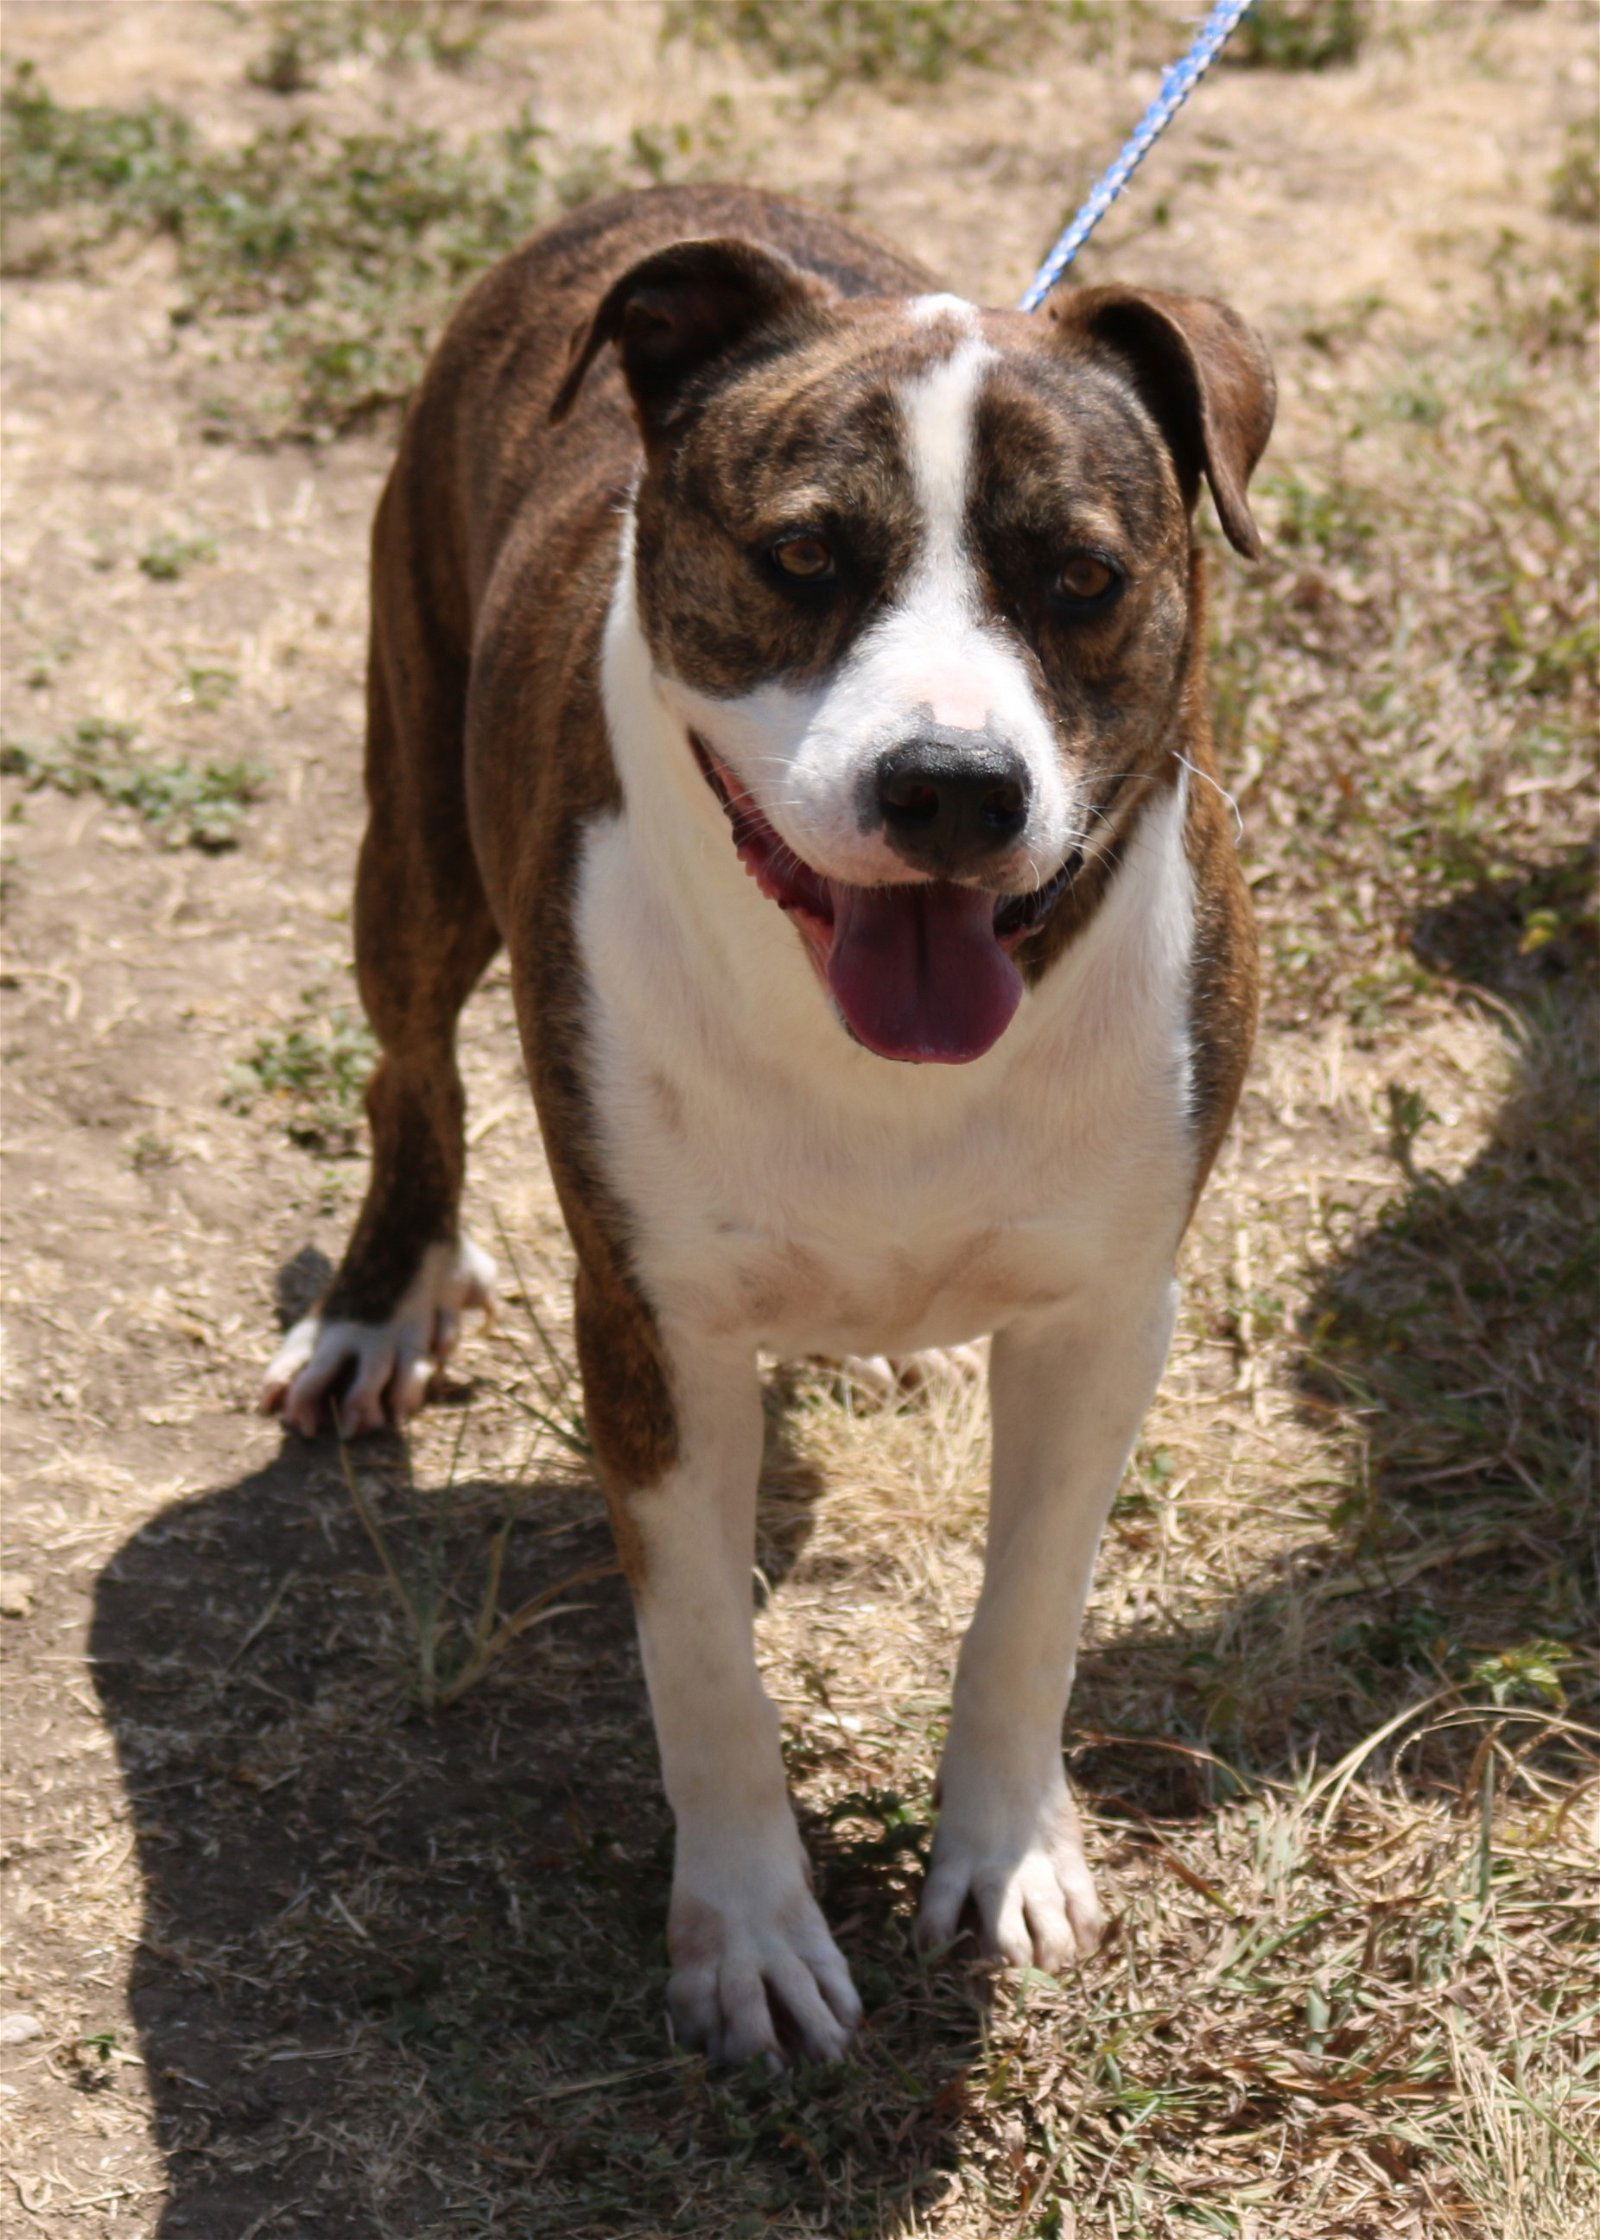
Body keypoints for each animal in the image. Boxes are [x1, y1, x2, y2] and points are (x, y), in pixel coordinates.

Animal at [262, 188, 1272, 2060]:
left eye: (1085, 580)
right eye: (804, 559)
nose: (951, 787)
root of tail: (651, 204)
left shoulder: (1107, 1314)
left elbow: (1030, 1610)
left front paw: (1007, 1857)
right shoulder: (651, 1327)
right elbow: (704, 1672)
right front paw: (746, 1937)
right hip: (413, 832)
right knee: (409, 1064)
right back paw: (377, 1304)